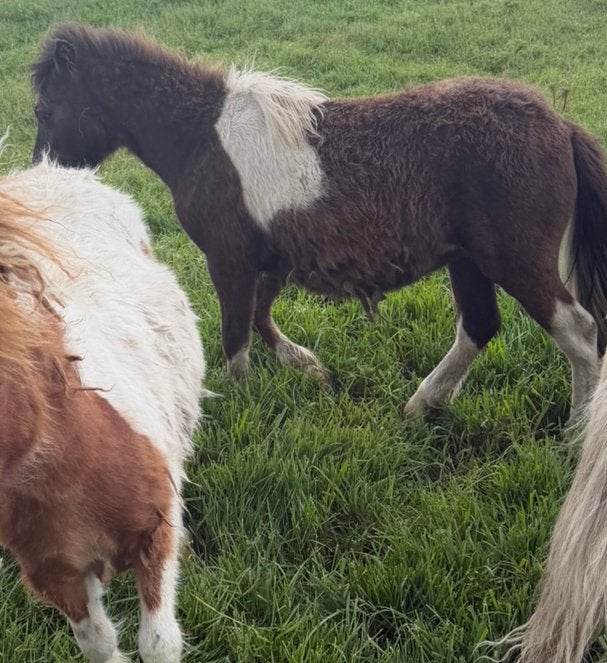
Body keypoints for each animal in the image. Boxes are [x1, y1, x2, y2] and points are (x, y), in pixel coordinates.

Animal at [31, 23, 607, 419]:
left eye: (43, 110)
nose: (41, 178)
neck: (200, 134)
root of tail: (561, 126)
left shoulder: (229, 259)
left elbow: (236, 336)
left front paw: (241, 406)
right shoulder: (270, 260)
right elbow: (260, 321)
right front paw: (308, 368)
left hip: (512, 260)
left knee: (578, 331)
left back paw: (574, 433)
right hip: (468, 260)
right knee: (479, 327)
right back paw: (419, 406)